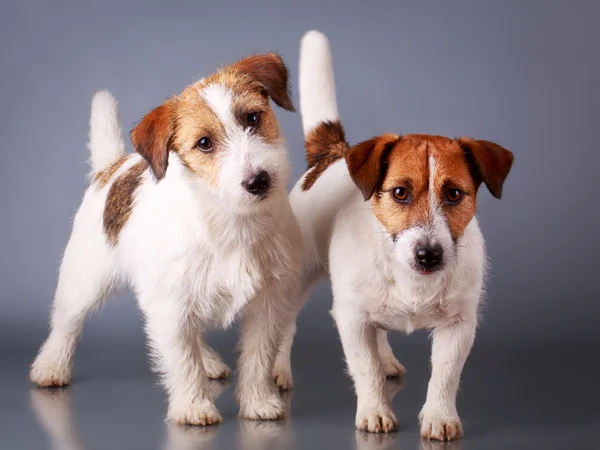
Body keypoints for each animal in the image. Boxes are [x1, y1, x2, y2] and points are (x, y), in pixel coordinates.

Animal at [30, 52, 302, 426]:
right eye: (204, 143)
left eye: (253, 118)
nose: (258, 180)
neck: (230, 219)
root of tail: (112, 167)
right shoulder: (170, 304)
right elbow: (182, 360)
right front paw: (193, 406)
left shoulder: (267, 304)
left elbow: (258, 357)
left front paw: (258, 402)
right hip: (83, 281)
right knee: (66, 323)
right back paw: (51, 366)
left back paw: (210, 362)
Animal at [272, 33, 510, 442]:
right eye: (400, 192)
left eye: (454, 194)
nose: (429, 255)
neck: (409, 275)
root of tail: (333, 155)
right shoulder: (351, 317)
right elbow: (363, 367)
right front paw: (375, 410)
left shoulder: (459, 325)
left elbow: (445, 375)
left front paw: (439, 416)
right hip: (297, 278)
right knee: (287, 325)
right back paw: (279, 370)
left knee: (378, 332)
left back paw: (386, 359)